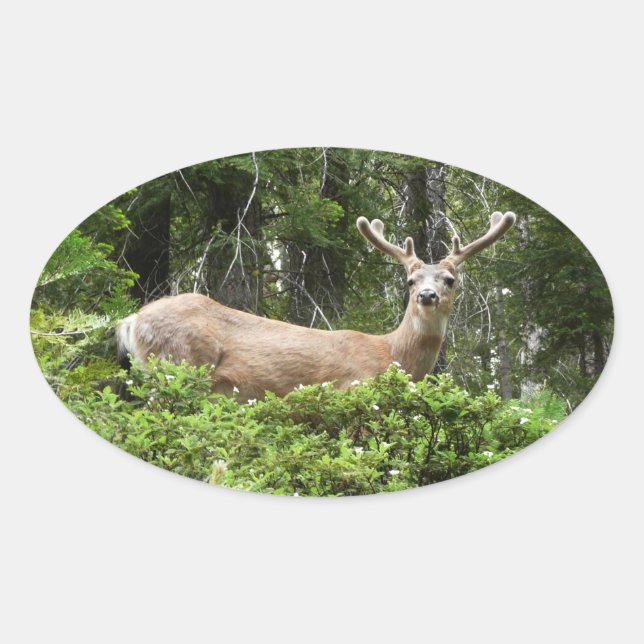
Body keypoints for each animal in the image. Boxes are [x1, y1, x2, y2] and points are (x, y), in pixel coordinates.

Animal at [116, 211, 516, 400]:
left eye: (449, 279)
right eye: (410, 281)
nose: (427, 296)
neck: (391, 355)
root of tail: (131, 320)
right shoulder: (352, 389)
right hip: (177, 363)